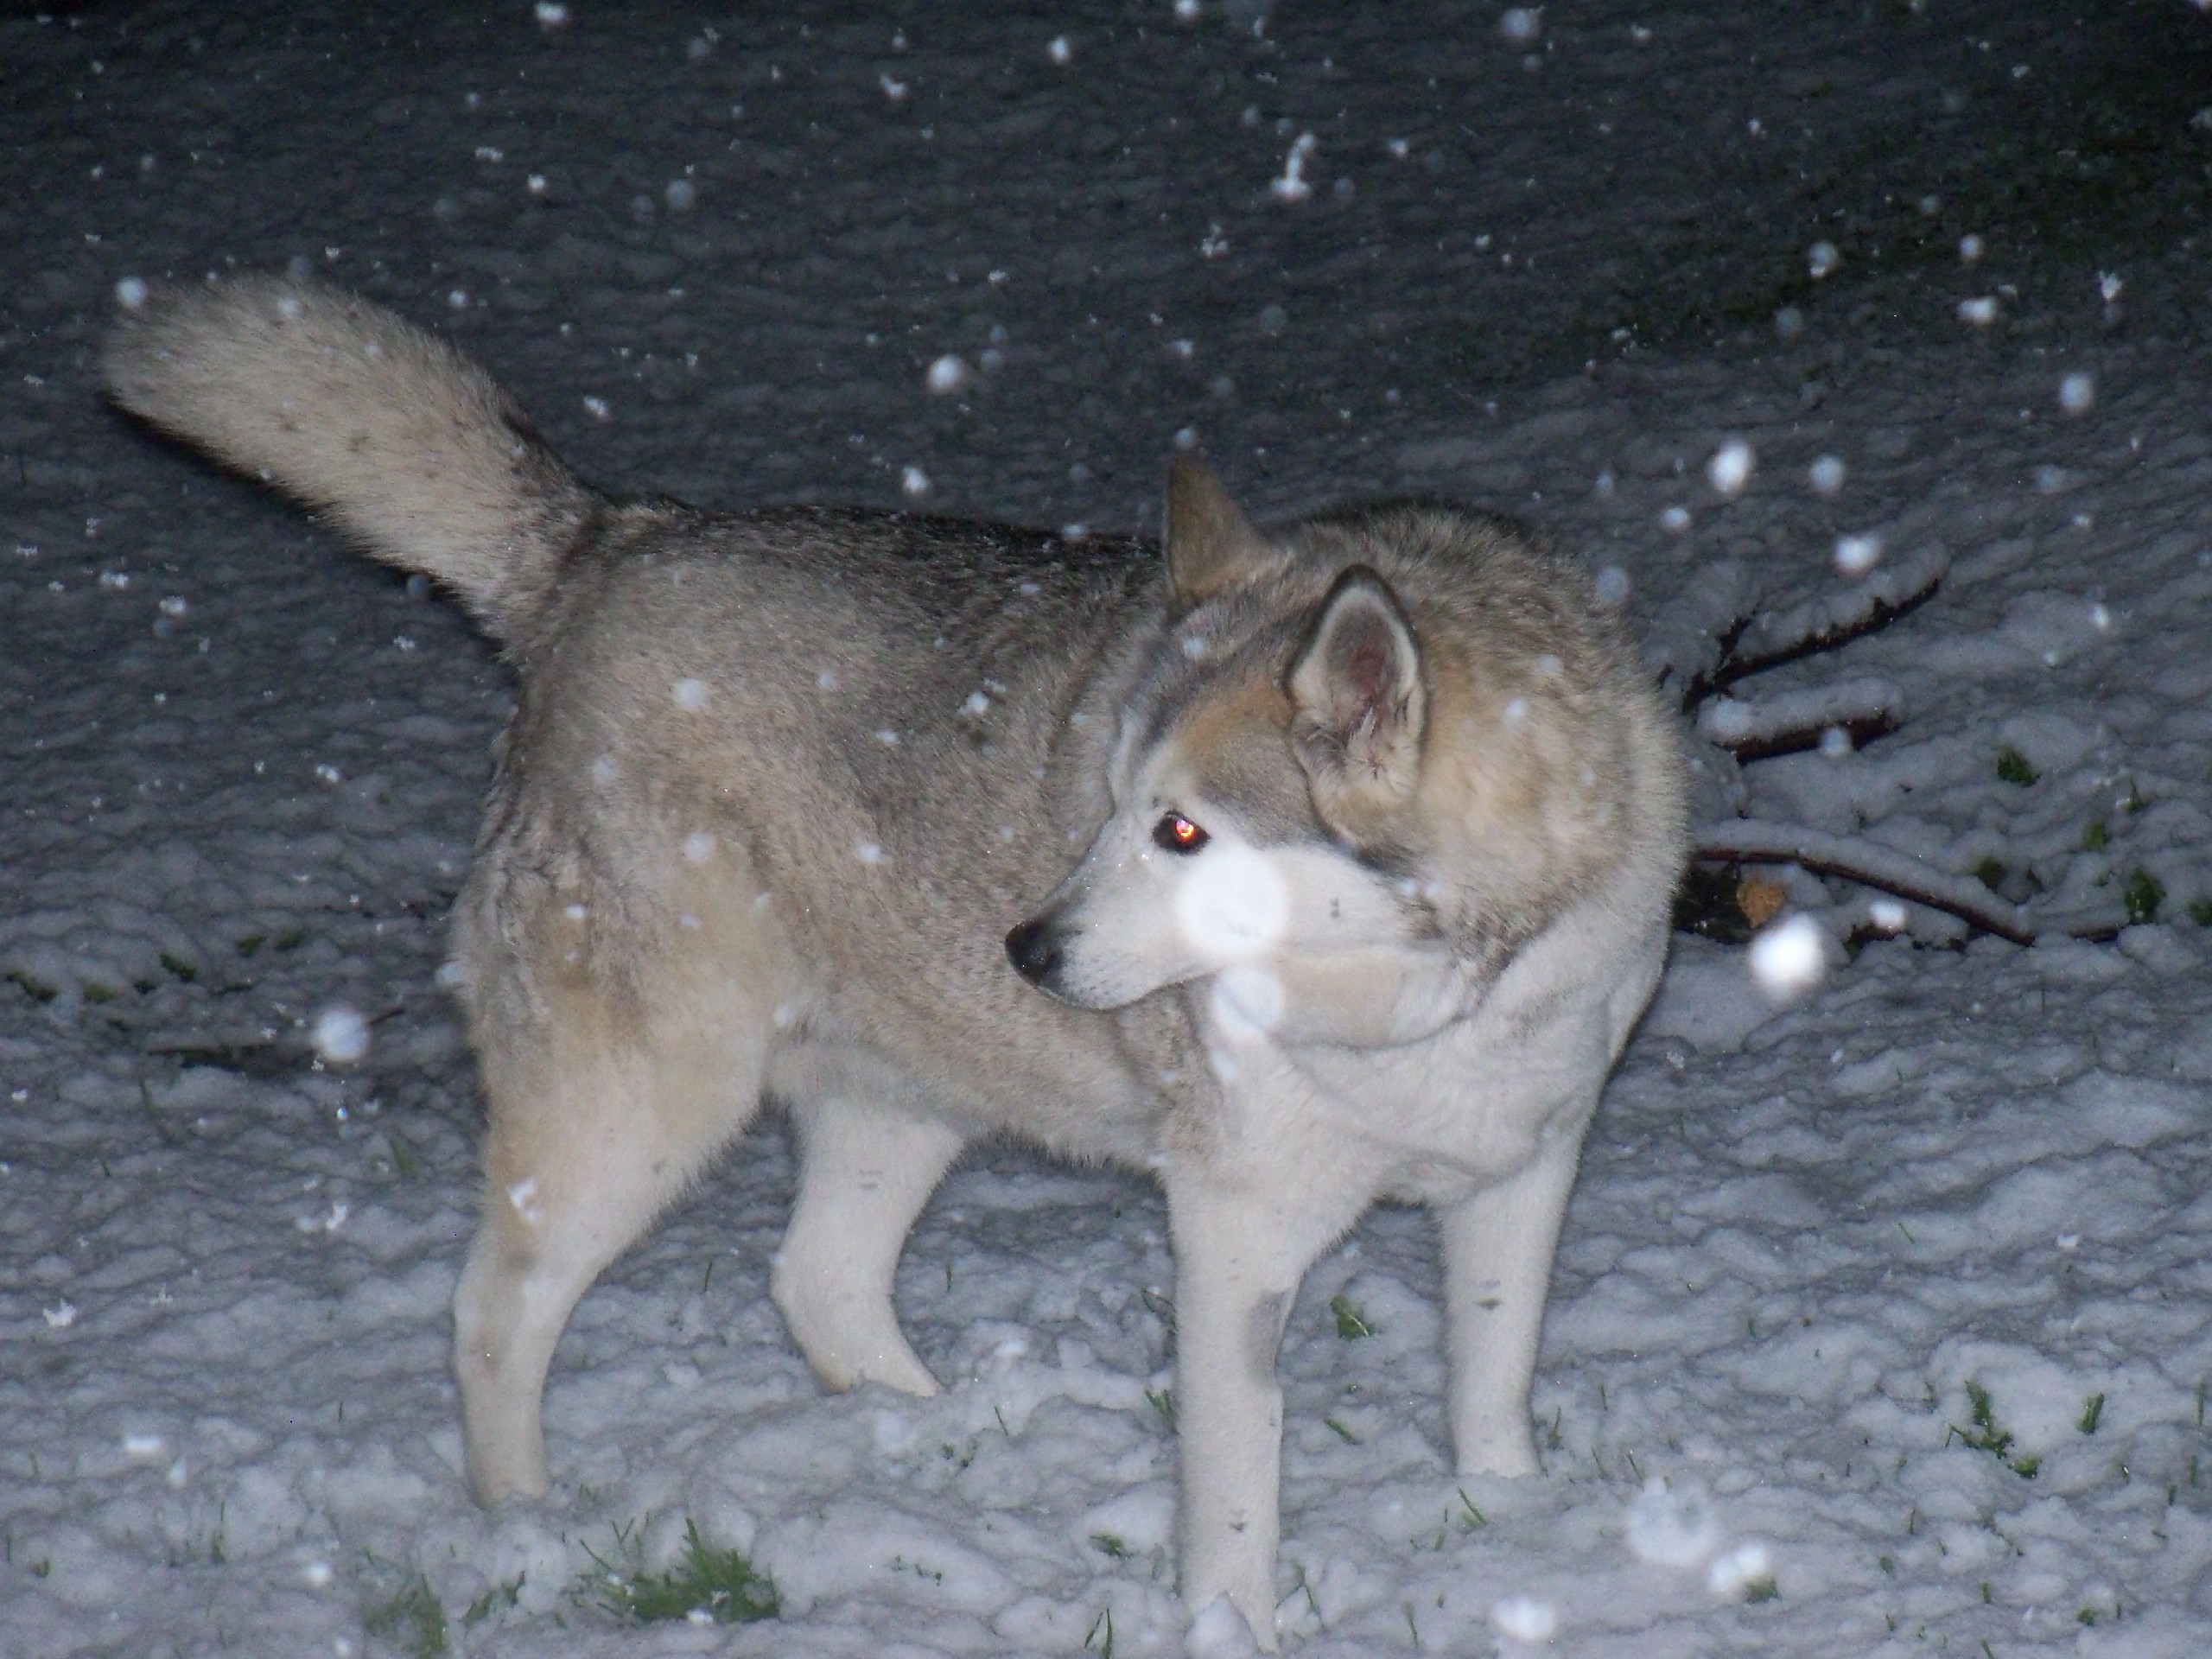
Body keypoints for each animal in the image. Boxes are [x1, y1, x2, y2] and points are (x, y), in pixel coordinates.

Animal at [106, 276, 1687, 1647]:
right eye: (1110, 804)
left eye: (1181, 831)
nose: (1027, 947)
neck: (1437, 1002)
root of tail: (603, 542)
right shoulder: (1233, 1235)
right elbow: (1236, 1509)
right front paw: (1232, 1632)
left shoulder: (1524, 1169)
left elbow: (1492, 1397)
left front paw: (1515, 1541)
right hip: (642, 1113)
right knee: (495, 1311)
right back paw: (527, 1531)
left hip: (901, 1104)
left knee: (814, 1282)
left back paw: (931, 1445)